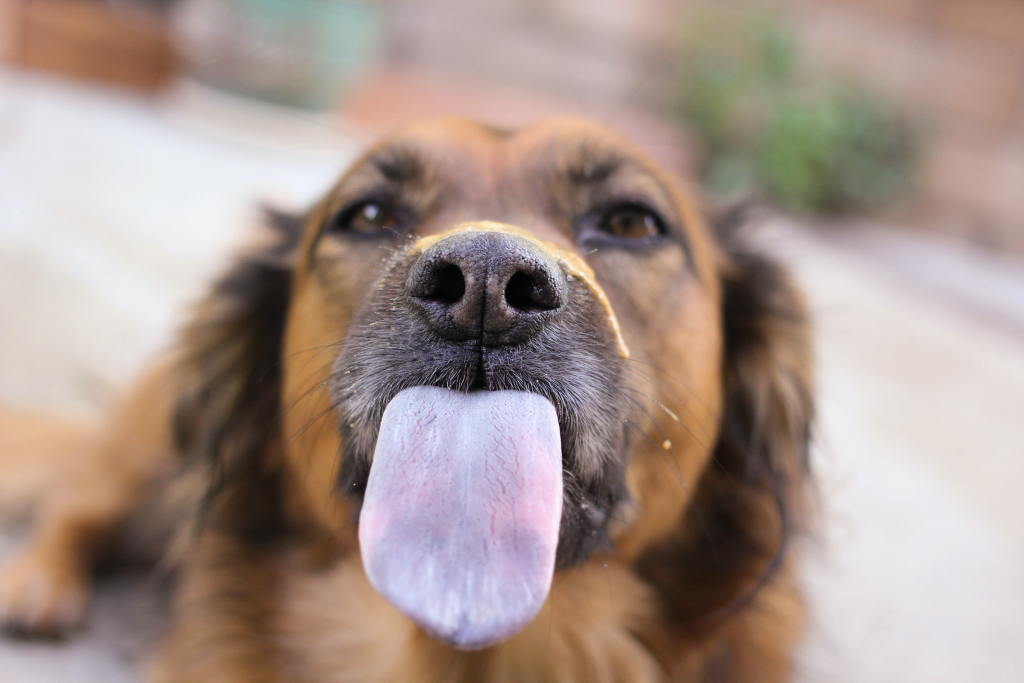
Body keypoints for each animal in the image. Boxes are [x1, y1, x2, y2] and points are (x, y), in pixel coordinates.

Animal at [0, 120, 815, 679]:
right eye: (367, 215)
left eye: (631, 222)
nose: (485, 284)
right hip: (150, 456)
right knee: (79, 503)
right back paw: (38, 581)